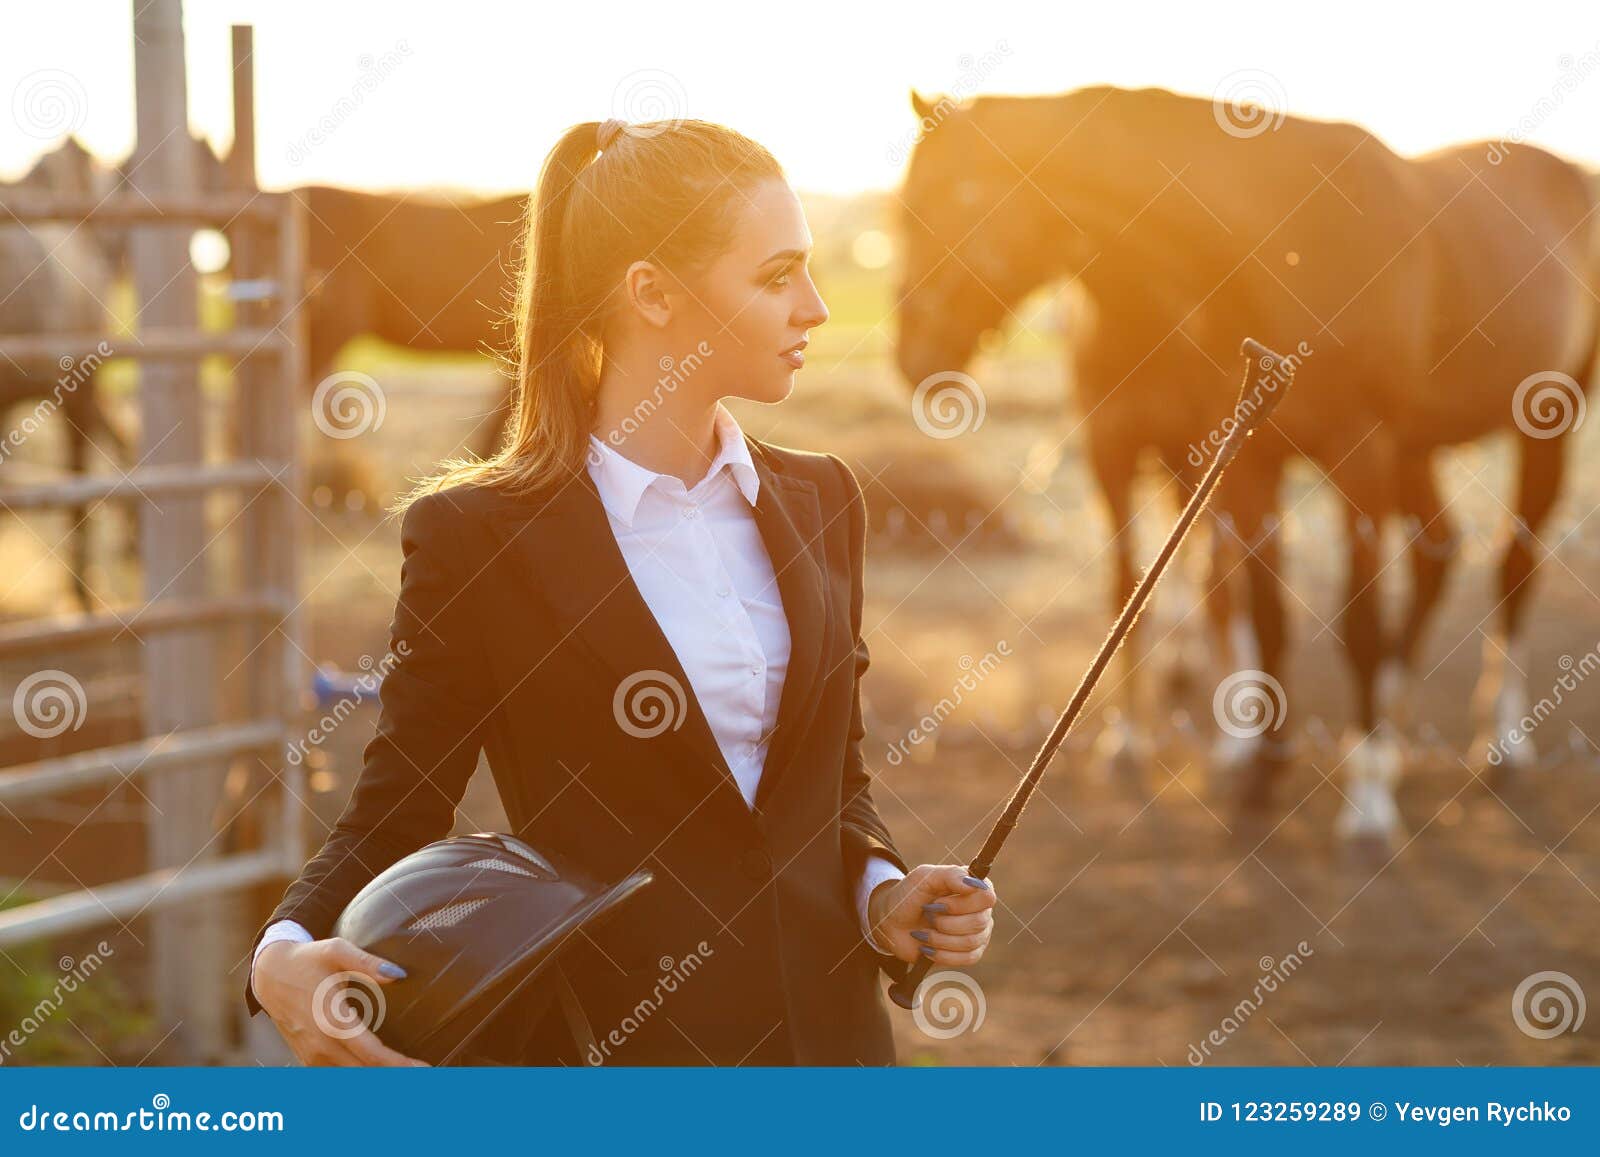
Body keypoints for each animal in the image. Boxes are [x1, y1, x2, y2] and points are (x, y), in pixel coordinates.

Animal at [896, 81, 1593, 844]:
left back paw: (1497, 745)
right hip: (1413, 451)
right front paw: (1262, 770)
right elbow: (1257, 608)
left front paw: (1364, 803)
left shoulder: (1358, 456)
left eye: (960, 200)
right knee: (1436, 553)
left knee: (1513, 568)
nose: (914, 358)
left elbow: (1355, 622)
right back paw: (1394, 728)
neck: (1279, 247)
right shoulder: (1242, 459)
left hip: (1542, 429)